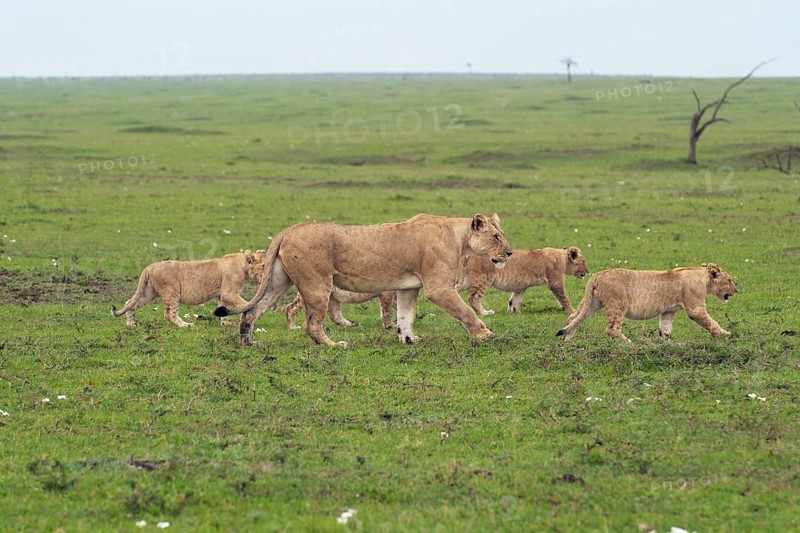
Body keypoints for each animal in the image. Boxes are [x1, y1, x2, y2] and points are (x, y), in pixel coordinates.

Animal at [112, 250, 268, 327]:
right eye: (264, 265)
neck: (244, 265)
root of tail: (149, 267)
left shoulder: (223, 295)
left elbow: (223, 308)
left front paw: (225, 322)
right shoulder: (229, 293)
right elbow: (245, 303)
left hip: (149, 292)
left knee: (129, 303)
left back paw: (131, 324)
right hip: (171, 291)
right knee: (169, 314)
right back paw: (185, 325)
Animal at [213, 213, 513, 347]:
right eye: (496, 237)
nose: (510, 253)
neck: (459, 237)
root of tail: (287, 230)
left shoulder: (409, 288)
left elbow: (405, 316)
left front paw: (409, 338)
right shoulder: (438, 288)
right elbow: (466, 312)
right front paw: (484, 334)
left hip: (277, 282)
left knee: (252, 311)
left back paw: (249, 343)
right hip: (317, 283)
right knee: (311, 324)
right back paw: (333, 345)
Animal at [456, 246, 588, 315]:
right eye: (583, 261)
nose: (588, 271)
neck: (563, 258)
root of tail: (468, 254)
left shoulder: (520, 286)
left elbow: (514, 300)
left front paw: (513, 312)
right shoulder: (555, 281)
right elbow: (564, 298)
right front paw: (573, 311)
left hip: (466, 280)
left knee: (454, 290)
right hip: (483, 278)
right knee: (473, 297)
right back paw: (484, 312)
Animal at [556, 263, 737, 341]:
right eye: (729, 280)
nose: (736, 290)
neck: (704, 278)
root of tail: (597, 275)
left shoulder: (667, 312)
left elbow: (665, 329)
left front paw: (666, 343)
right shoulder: (695, 308)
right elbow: (711, 322)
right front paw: (726, 334)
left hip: (593, 302)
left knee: (573, 318)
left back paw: (567, 339)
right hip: (618, 305)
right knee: (612, 330)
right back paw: (629, 344)